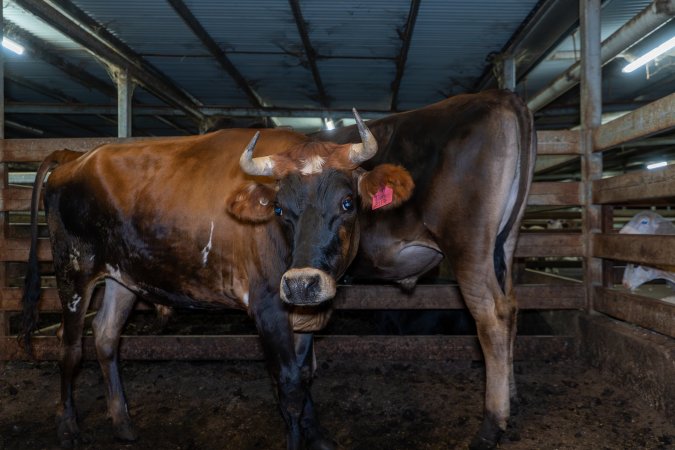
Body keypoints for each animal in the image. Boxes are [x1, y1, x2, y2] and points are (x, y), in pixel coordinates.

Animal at [21, 110, 414, 450]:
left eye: (348, 203)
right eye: (279, 209)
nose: (303, 283)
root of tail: (76, 156)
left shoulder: (303, 312)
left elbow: (305, 374)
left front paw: (317, 435)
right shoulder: (268, 307)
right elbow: (288, 383)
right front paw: (296, 439)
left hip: (122, 276)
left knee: (105, 336)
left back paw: (123, 423)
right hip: (73, 268)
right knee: (70, 345)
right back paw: (68, 425)